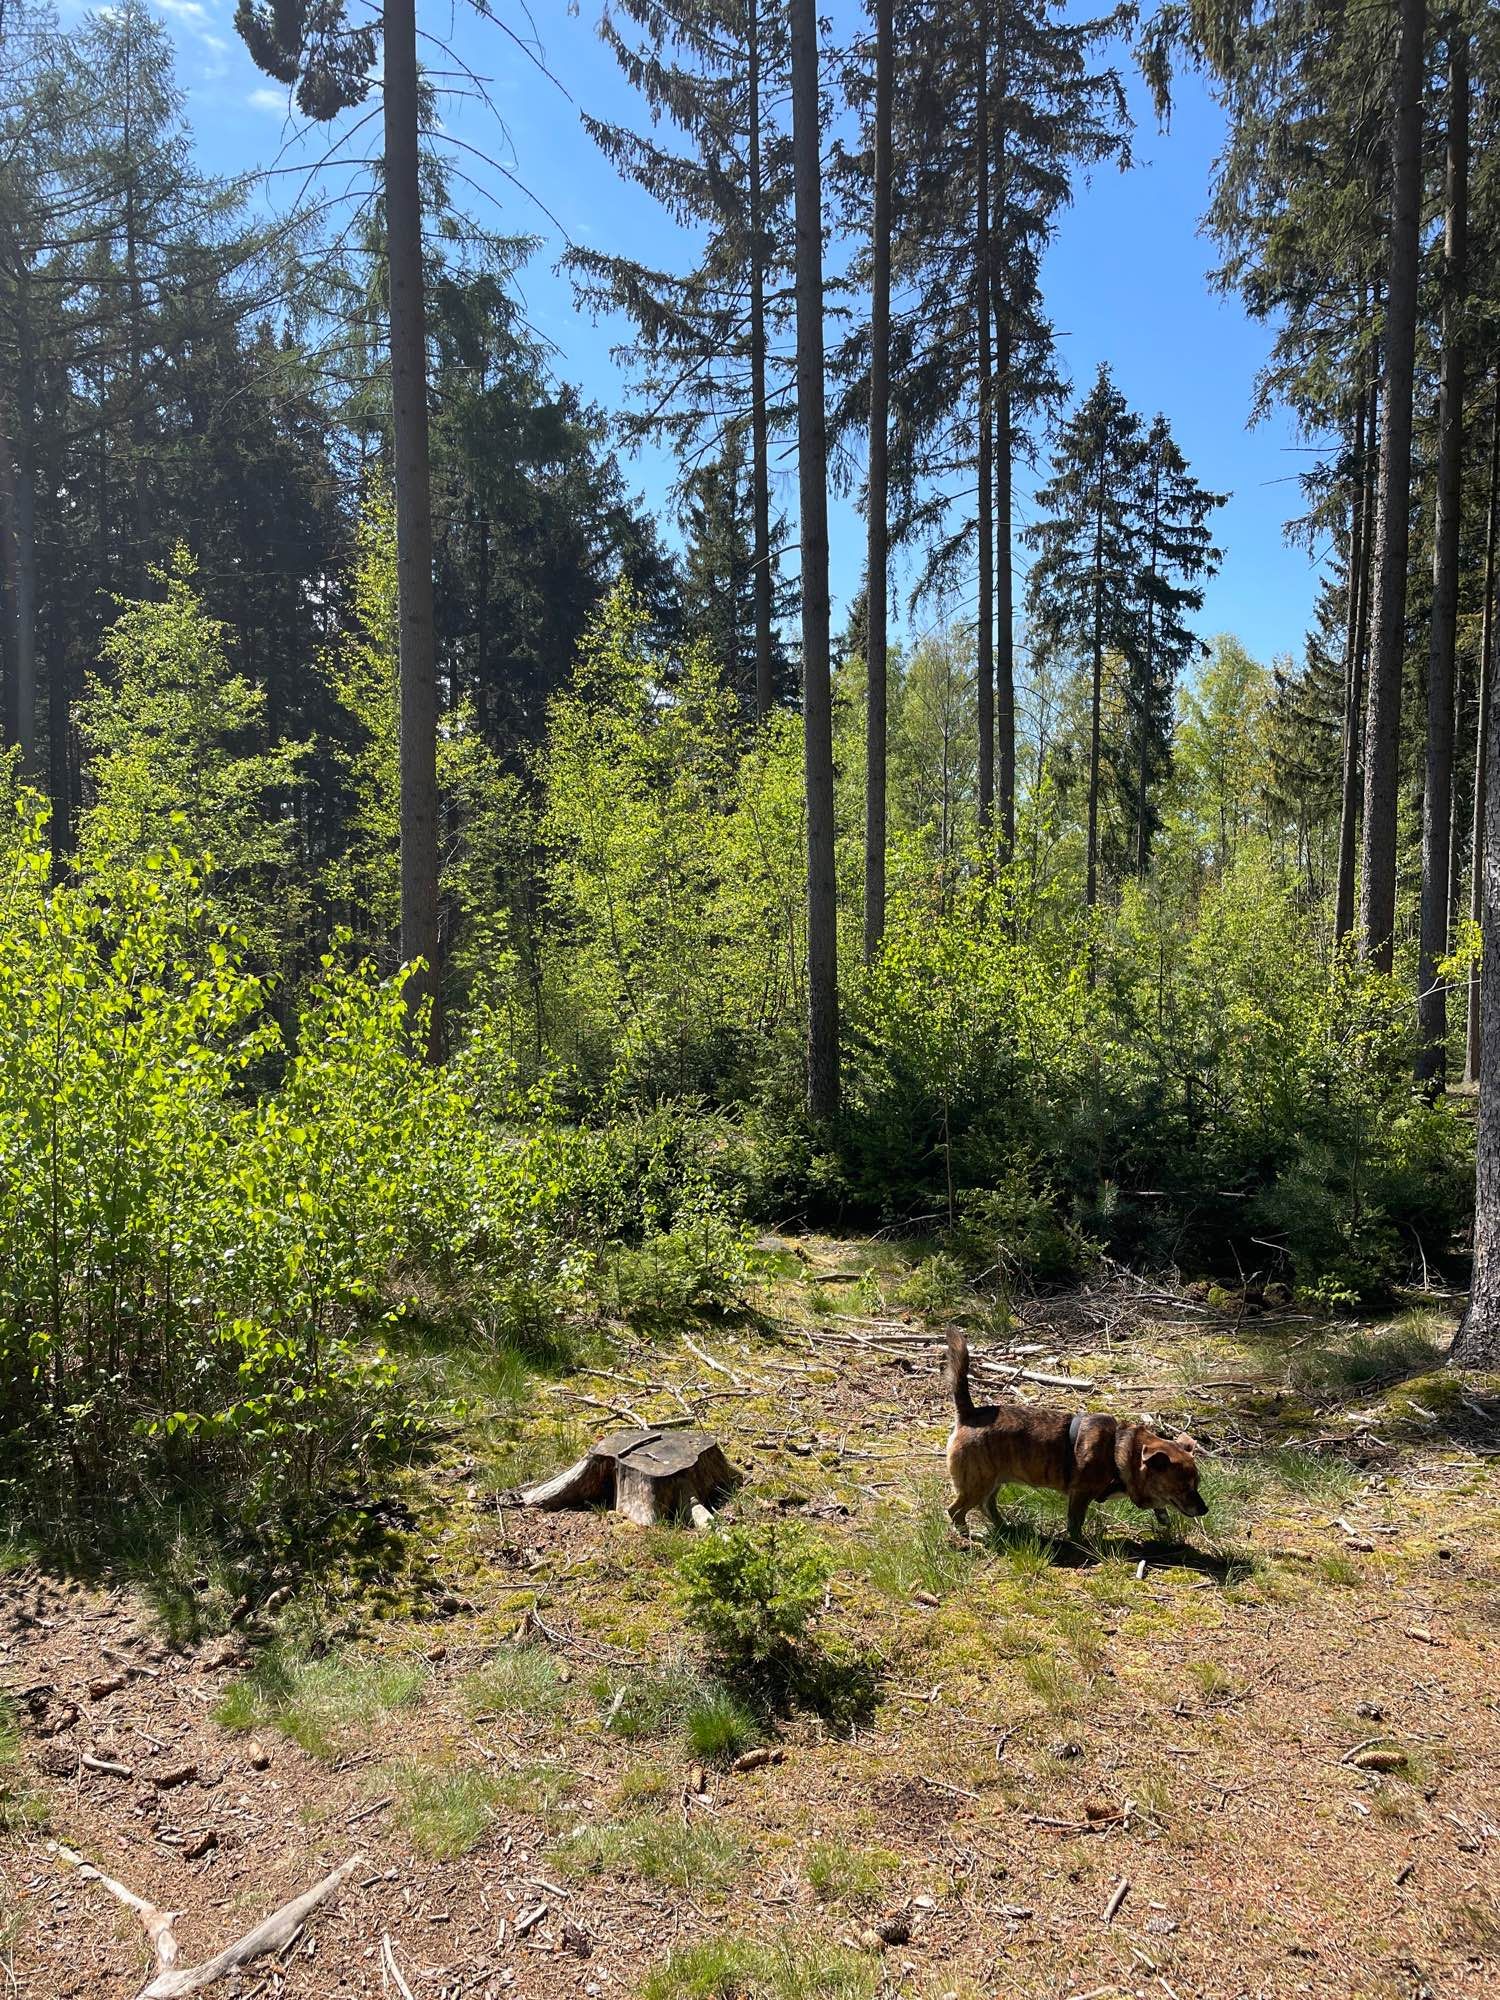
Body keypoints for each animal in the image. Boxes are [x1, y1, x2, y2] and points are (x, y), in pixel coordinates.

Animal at [952, 1328, 1208, 1544]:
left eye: (1197, 1484)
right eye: (1182, 1488)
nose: (1204, 1510)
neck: (1120, 1451)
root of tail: (969, 1413)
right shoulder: (1080, 1494)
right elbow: (1075, 1523)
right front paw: (1080, 1543)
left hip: (991, 1482)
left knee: (987, 1506)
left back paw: (1006, 1528)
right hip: (976, 1484)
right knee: (955, 1511)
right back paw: (969, 1535)